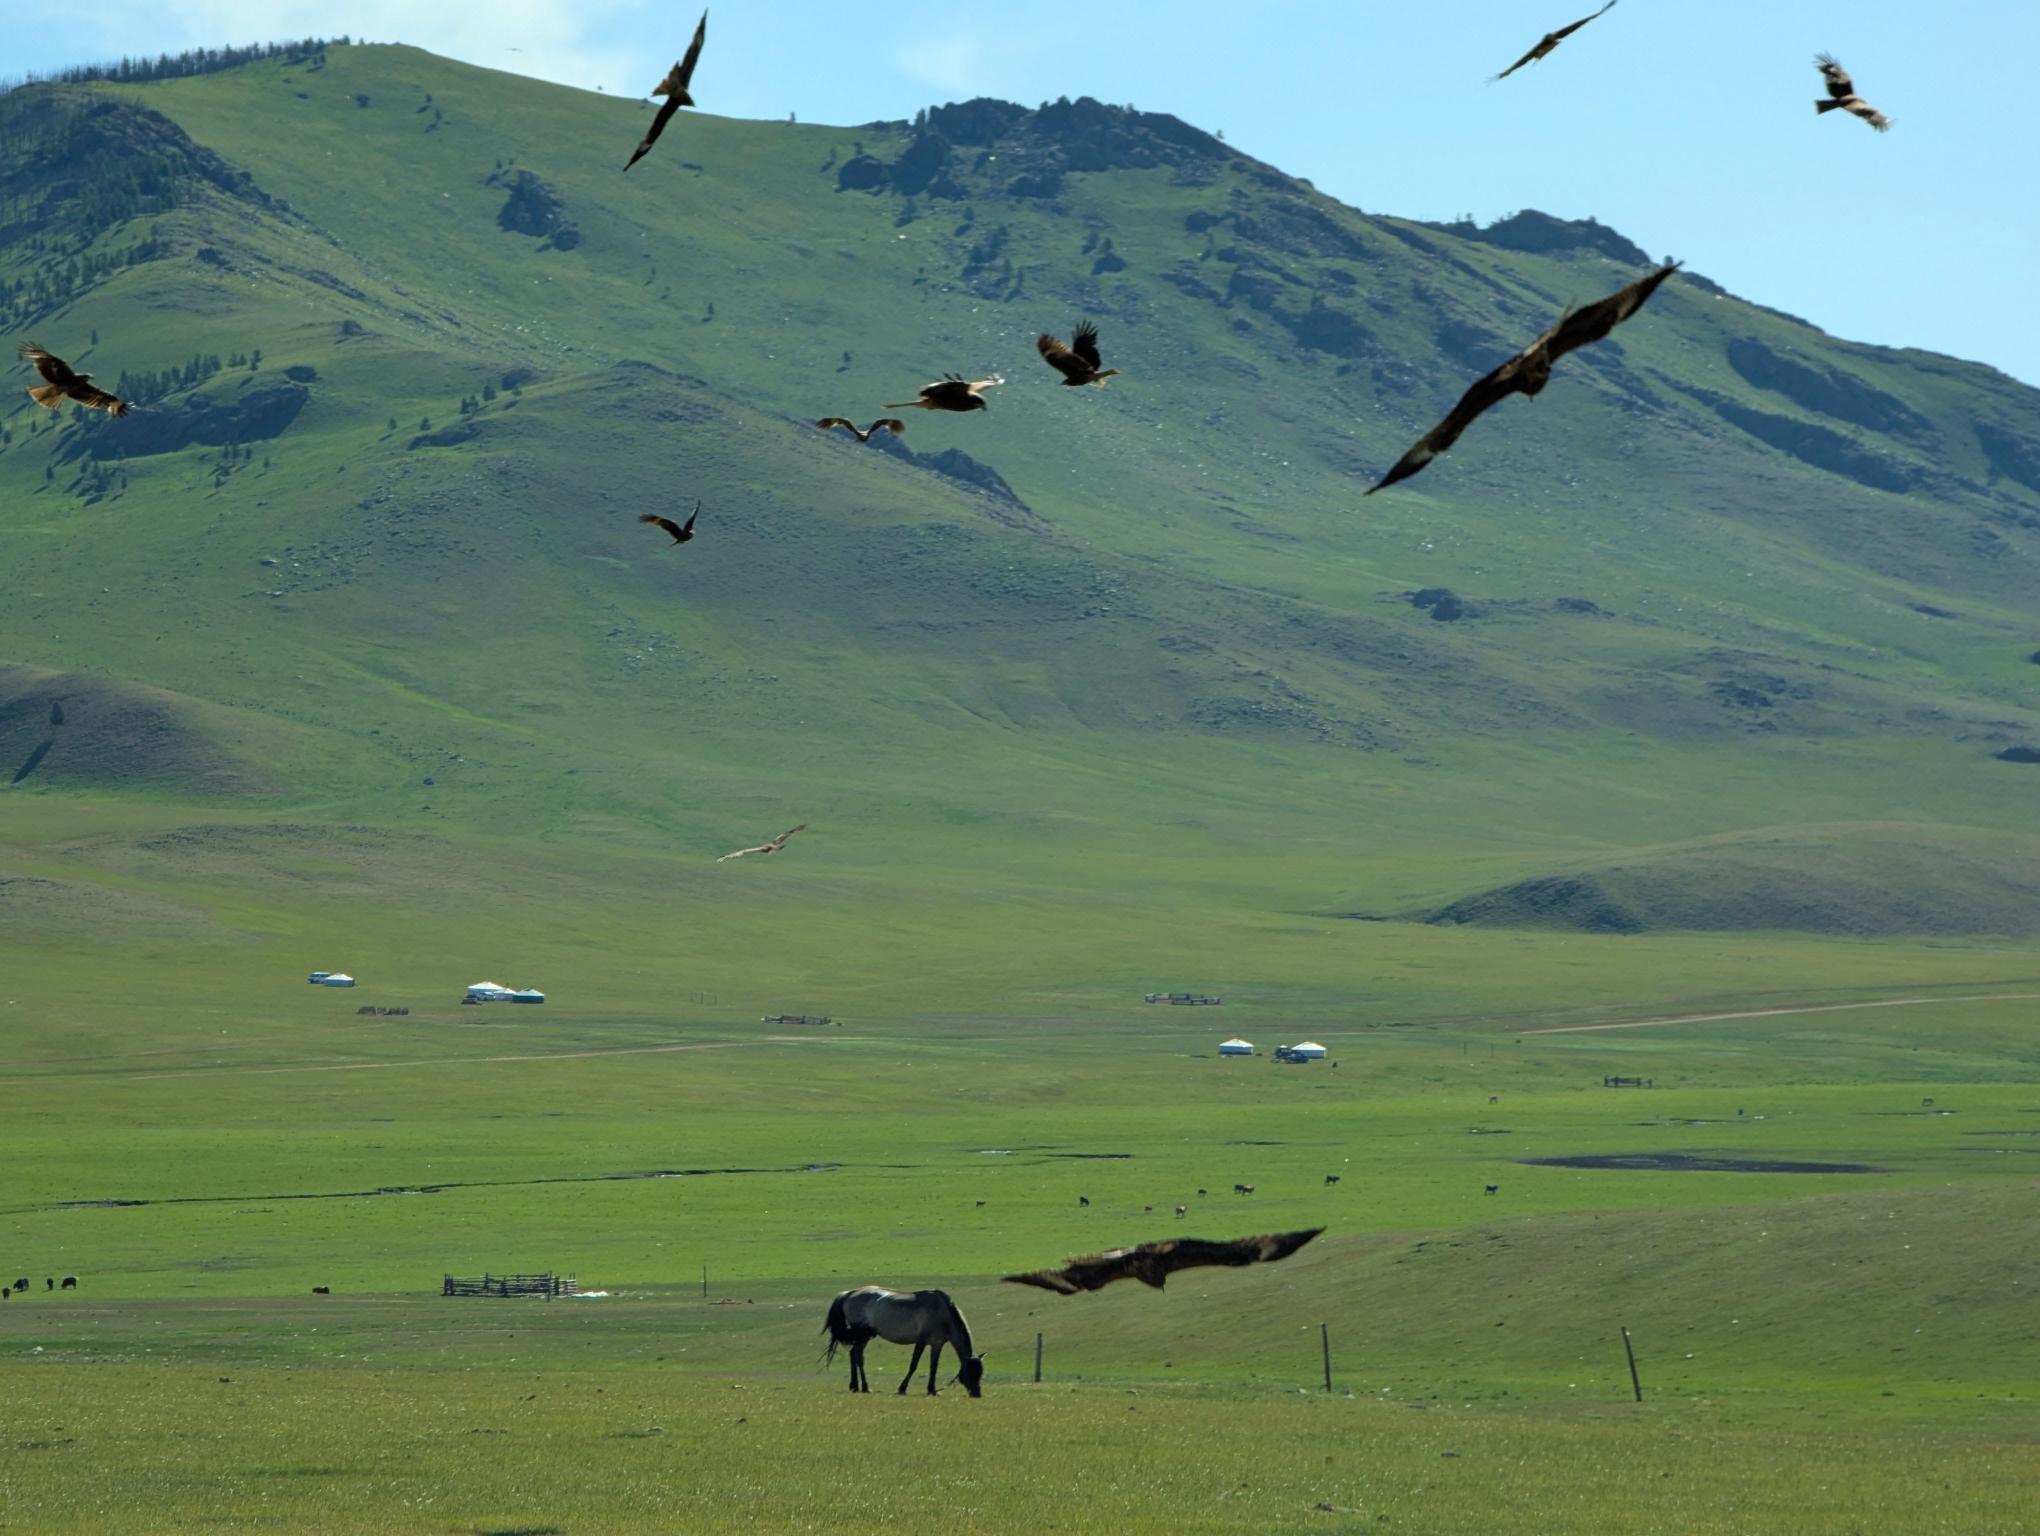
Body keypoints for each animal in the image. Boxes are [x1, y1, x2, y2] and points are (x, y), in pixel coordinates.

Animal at [823, 1286, 984, 1397]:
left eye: (980, 1373)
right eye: (969, 1373)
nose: (977, 1394)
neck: (941, 1313)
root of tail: (850, 1293)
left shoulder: (937, 1344)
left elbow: (933, 1367)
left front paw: (932, 1390)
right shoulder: (921, 1342)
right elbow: (913, 1365)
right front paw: (902, 1388)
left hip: (865, 1337)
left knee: (854, 1355)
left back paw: (856, 1386)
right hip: (862, 1336)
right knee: (857, 1357)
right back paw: (864, 1387)